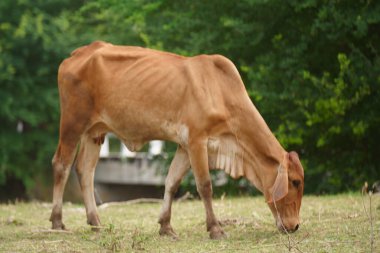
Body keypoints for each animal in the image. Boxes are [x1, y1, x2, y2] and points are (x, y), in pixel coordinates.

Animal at [51, 40, 306, 238]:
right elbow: (205, 186)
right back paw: (57, 222)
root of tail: (77, 54)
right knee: (61, 165)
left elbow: (171, 182)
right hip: (72, 124)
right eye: (295, 182)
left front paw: (165, 226)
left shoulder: (184, 146)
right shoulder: (196, 140)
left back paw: (96, 222)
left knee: (85, 169)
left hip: (95, 132)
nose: (294, 226)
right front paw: (215, 229)